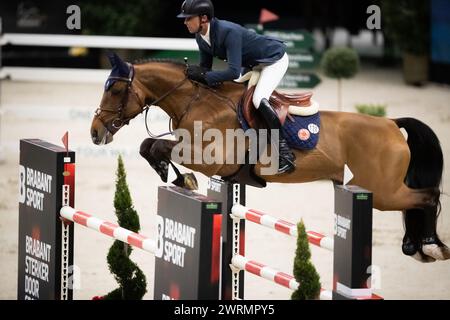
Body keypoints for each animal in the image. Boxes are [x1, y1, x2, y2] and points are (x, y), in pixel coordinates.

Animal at [89, 53, 448, 262]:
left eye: (116, 90)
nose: (95, 132)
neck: (198, 100)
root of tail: (391, 123)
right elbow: (148, 146)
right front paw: (179, 178)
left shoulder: (210, 158)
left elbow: (157, 147)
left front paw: (181, 176)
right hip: (382, 190)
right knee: (416, 201)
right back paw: (415, 246)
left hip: (382, 192)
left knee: (428, 196)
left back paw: (430, 245)